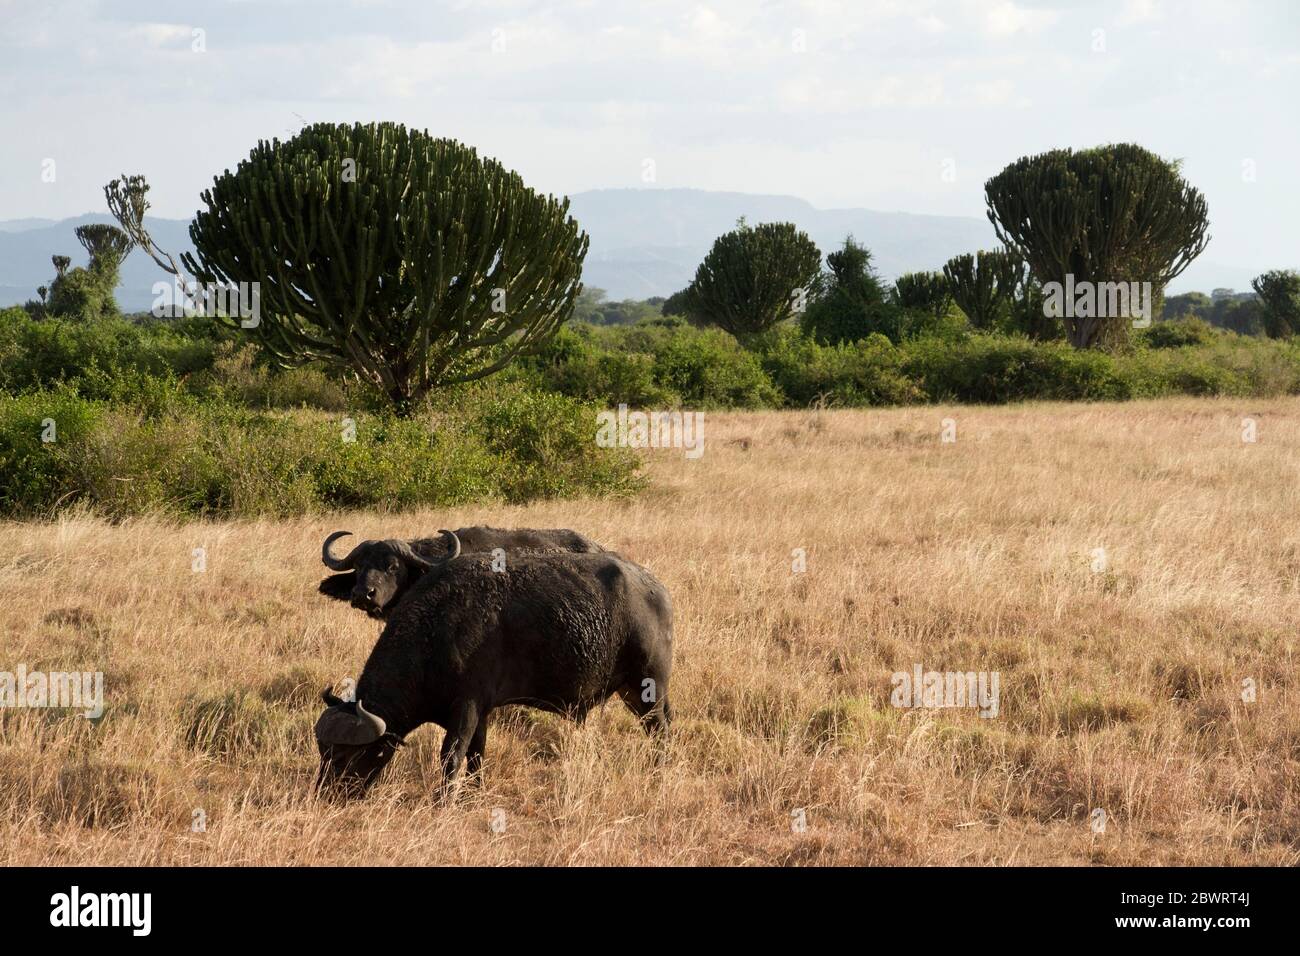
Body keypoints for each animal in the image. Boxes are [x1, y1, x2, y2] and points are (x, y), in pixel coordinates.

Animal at [313, 538, 670, 801]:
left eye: (346, 756)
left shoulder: (466, 708)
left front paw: (444, 801)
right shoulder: (481, 712)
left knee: (661, 730)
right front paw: (475, 792)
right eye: (323, 752)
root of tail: (656, 588)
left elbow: (451, 756)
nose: (325, 794)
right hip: (630, 691)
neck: (436, 631)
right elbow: (476, 755)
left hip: (649, 687)